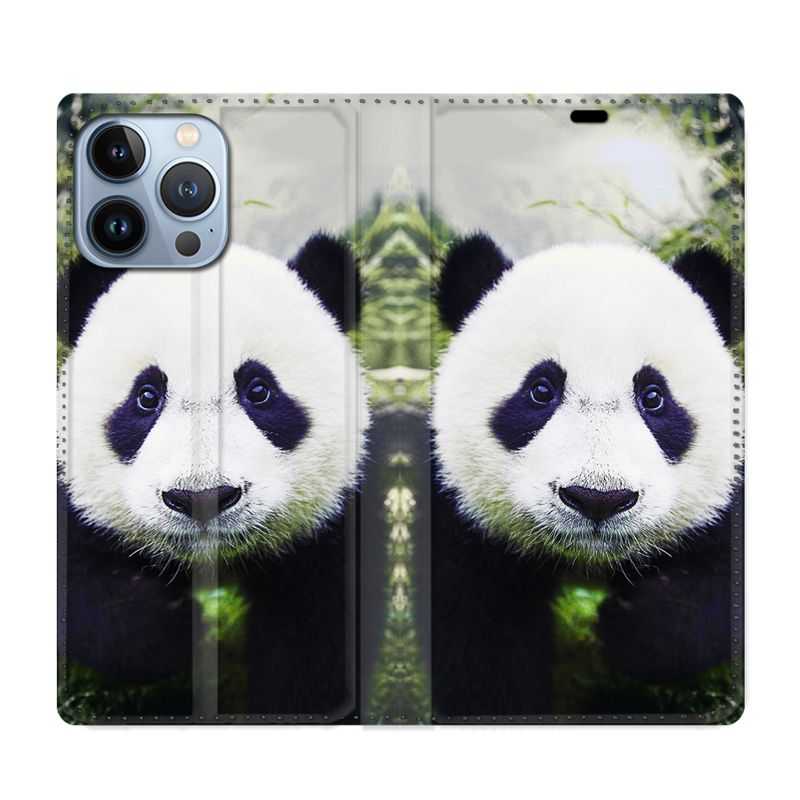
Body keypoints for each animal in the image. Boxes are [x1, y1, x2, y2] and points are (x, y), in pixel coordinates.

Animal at [59, 234, 369, 719]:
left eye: (259, 390)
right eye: (146, 396)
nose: (201, 497)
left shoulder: (330, 534)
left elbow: (316, 651)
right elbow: (88, 594)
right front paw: (180, 631)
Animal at [431, 234, 742, 717]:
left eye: (653, 396)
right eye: (541, 390)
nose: (598, 499)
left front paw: (634, 627)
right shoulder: (467, 525)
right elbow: (481, 646)